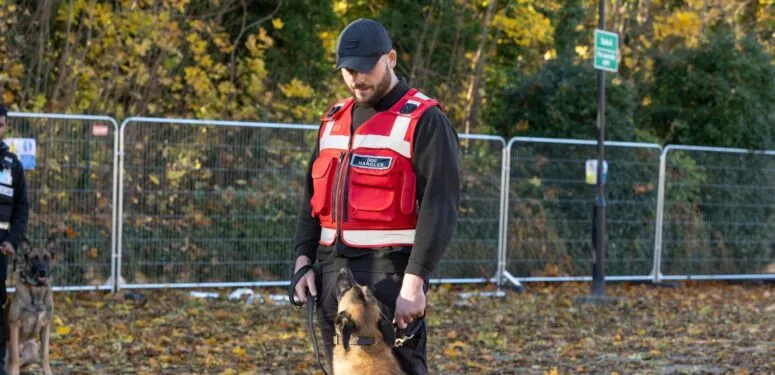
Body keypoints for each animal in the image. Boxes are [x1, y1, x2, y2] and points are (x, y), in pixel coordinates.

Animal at [4, 236, 56, 375]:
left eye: (46, 258)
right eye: (34, 259)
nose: (42, 271)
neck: (37, 290)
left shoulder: (46, 326)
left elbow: (45, 355)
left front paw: (47, 371)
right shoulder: (15, 325)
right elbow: (15, 357)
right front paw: (14, 372)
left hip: (33, 346)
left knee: (22, 364)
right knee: (11, 362)